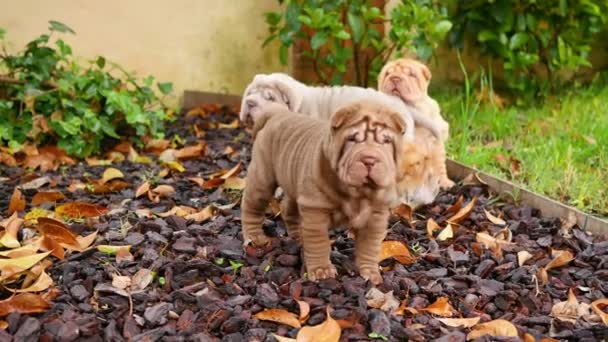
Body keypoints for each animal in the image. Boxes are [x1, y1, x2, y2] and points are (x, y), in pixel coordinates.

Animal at [240, 100, 406, 284]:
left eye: (386, 141)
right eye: (352, 139)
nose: (369, 159)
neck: (358, 192)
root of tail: (278, 113)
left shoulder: (376, 216)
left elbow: (369, 246)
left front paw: (370, 272)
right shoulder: (315, 210)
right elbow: (318, 242)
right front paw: (322, 271)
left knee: (288, 208)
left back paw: (297, 236)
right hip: (263, 176)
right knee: (252, 206)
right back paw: (255, 237)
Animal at [378, 58, 454, 206]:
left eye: (411, 75)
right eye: (387, 74)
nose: (395, 78)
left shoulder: (436, 144)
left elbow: (440, 166)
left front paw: (445, 183)